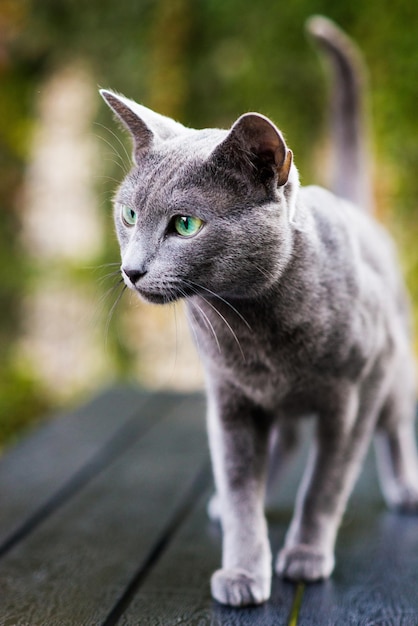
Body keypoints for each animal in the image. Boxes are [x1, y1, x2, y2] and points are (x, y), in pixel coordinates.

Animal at [101, 15, 418, 604]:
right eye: (129, 215)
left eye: (184, 225)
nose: (132, 270)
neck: (254, 327)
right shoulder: (229, 399)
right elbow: (239, 483)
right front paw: (245, 570)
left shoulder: (353, 399)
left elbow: (326, 485)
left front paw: (306, 554)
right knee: (282, 442)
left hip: (393, 372)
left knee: (397, 423)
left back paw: (406, 488)